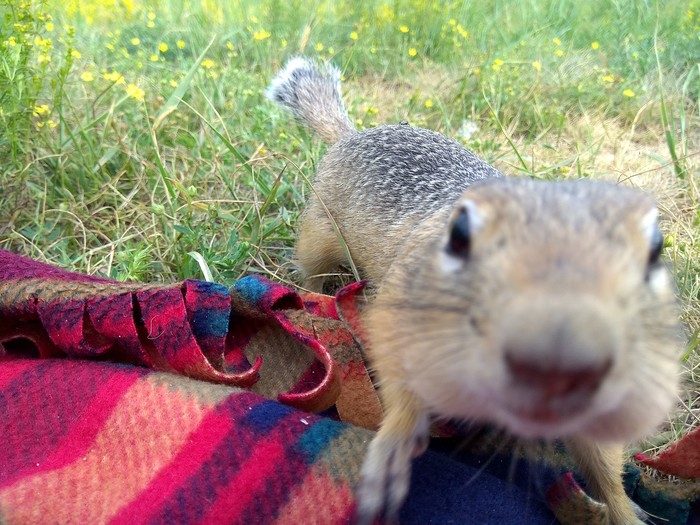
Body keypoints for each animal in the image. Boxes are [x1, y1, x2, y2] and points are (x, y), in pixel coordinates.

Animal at [266, 57, 680, 524]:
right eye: (463, 238)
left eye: (654, 251)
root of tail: (352, 134)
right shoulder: (402, 310)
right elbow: (399, 375)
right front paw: (393, 448)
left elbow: (602, 462)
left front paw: (626, 509)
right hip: (319, 233)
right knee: (313, 268)